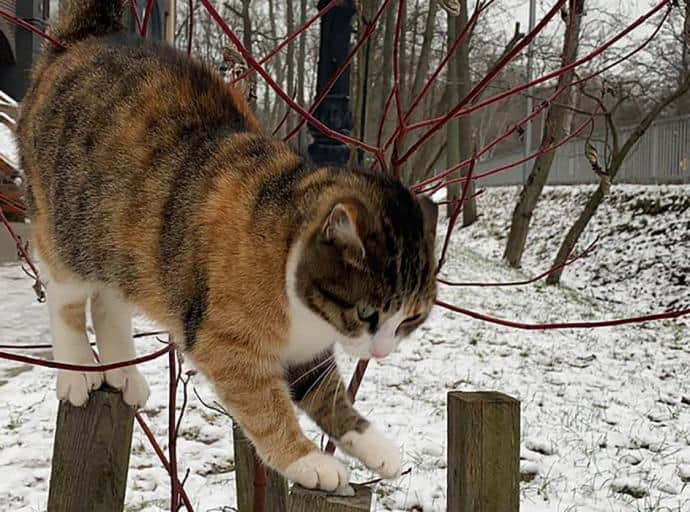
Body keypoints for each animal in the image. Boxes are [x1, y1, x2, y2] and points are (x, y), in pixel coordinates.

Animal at [18, 0, 438, 492]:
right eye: (368, 312)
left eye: (411, 318)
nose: (382, 351)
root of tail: (86, 37)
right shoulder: (226, 341)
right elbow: (265, 405)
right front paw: (307, 460)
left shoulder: (306, 348)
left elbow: (326, 393)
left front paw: (375, 446)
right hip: (68, 226)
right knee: (64, 297)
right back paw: (77, 372)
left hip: (127, 247)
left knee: (109, 302)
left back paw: (123, 372)